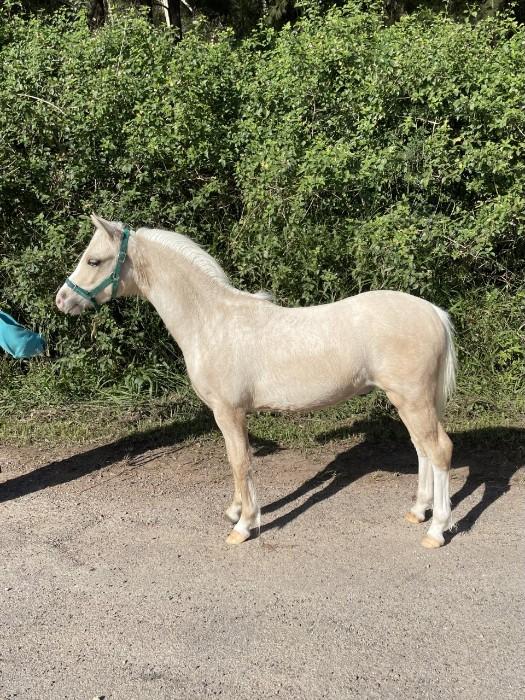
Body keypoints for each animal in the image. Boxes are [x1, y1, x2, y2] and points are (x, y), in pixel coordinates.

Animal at [56, 214, 457, 548]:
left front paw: (243, 525)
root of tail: (432, 312)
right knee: (421, 449)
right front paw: (234, 511)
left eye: (94, 260)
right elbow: (236, 459)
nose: (62, 300)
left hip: (413, 399)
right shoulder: (229, 415)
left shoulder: (228, 411)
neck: (210, 321)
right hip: (409, 401)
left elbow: (240, 462)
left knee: (438, 450)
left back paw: (436, 530)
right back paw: (418, 512)